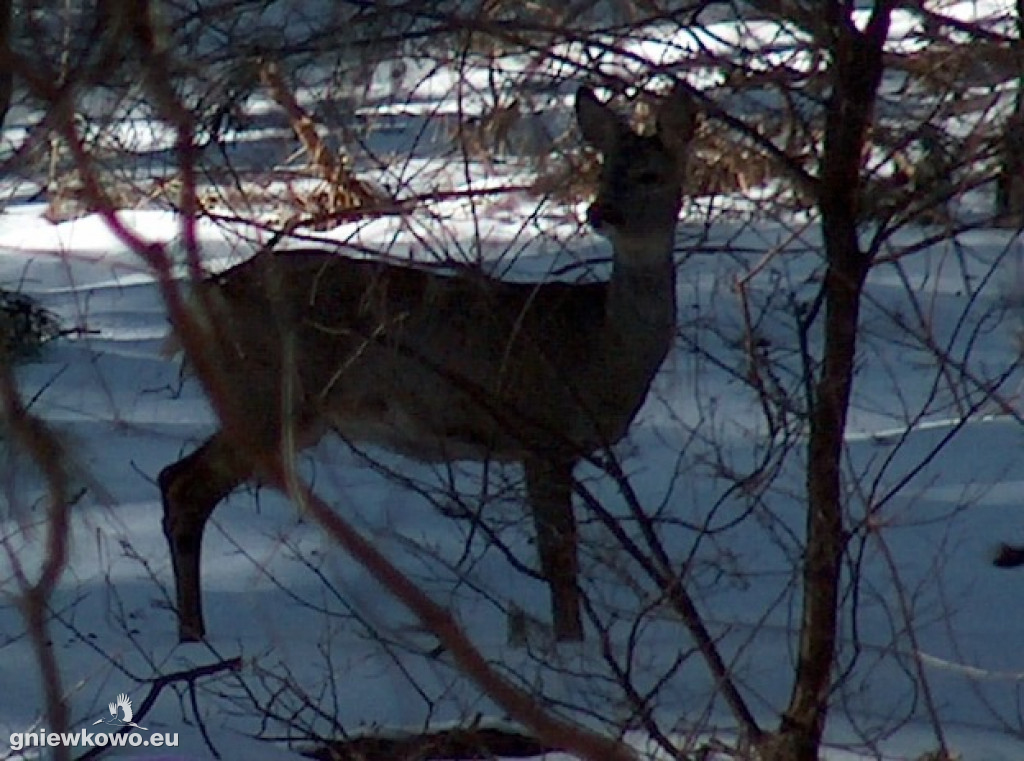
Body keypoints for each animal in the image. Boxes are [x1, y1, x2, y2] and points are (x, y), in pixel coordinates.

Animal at [159, 83, 700, 643]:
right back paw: (194, 640)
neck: (598, 345)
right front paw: (569, 646)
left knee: (174, 478)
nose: (601, 212)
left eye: (649, 174)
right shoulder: (540, 433)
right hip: (263, 394)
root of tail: (204, 298)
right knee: (185, 486)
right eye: (604, 170)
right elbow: (560, 559)